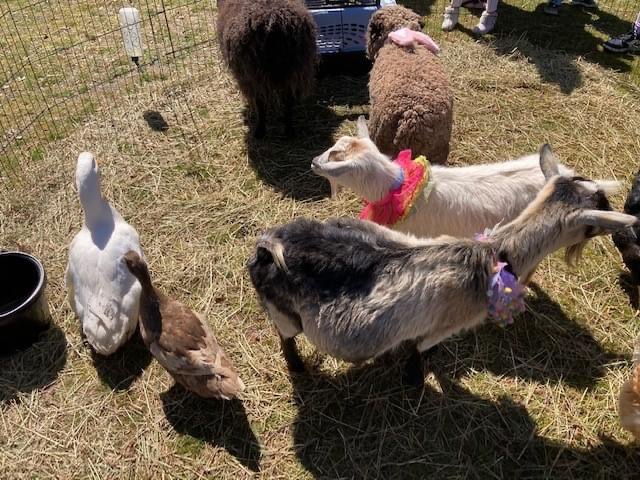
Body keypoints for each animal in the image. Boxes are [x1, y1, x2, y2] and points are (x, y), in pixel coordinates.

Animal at [216, 0, 317, 138]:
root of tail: (273, 21)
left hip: (254, 74)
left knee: (261, 102)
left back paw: (260, 130)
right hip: (295, 70)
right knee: (288, 102)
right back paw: (289, 131)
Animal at [249, 144, 636, 385]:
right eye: (599, 209)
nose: (624, 229)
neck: (494, 255)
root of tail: (269, 245)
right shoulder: (442, 326)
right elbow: (420, 353)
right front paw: (415, 381)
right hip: (283, 313)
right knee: (286, 338)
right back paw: (298, 368)